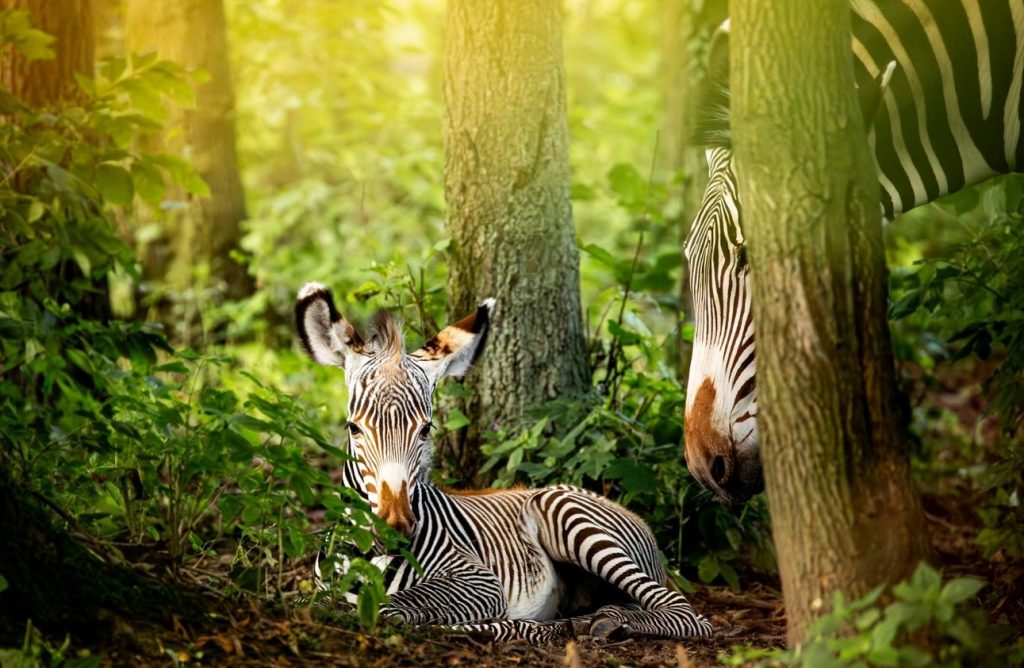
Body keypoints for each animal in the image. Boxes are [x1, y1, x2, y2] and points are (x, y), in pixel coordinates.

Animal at [295, 282, 713, 643]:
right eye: (354, 428)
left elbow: (388, 608)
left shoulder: (480, 581)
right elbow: (314, 602)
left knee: (688, 615)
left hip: (569, 517)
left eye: (426, 429)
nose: (396, 528)